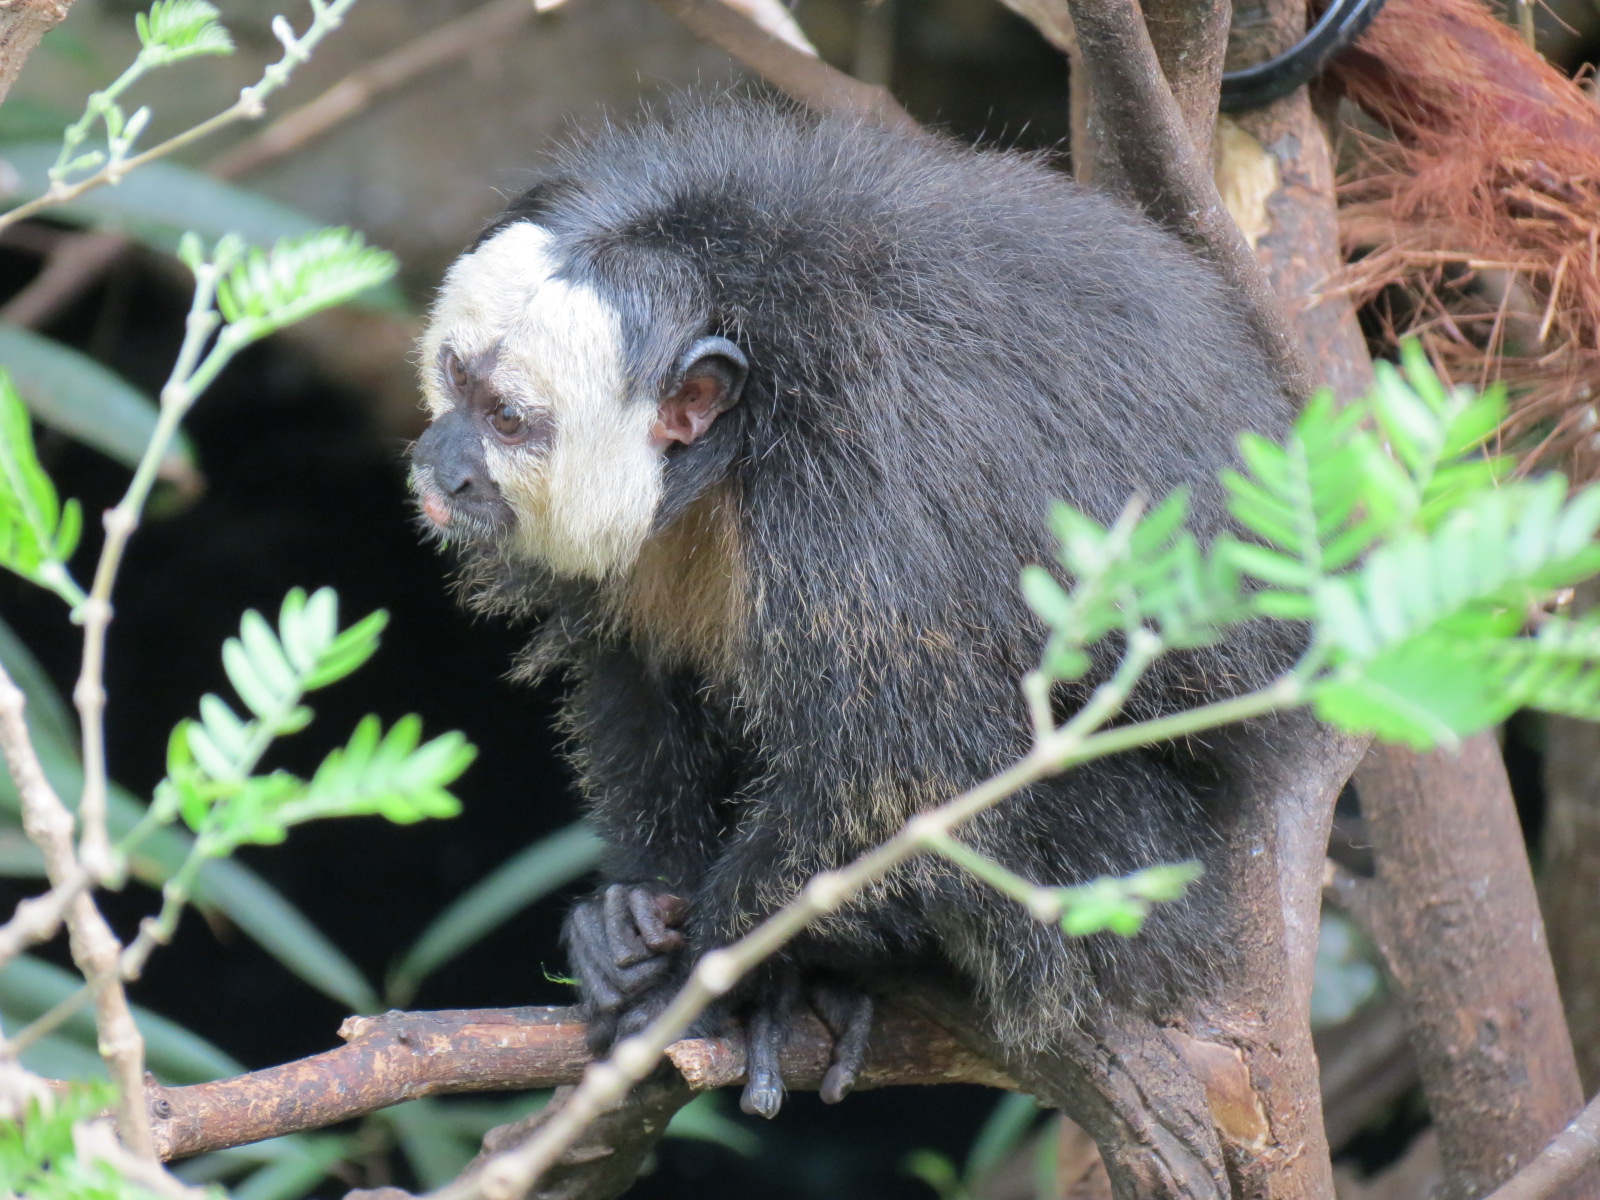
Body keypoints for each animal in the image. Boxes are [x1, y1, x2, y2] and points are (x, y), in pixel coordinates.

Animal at [408, 95, 1299, 1119]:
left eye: (508, 420)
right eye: (455, 376)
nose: (441, 463)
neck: (738, 443)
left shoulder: (859, 496)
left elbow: (901, 775)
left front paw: (702, 974)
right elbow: (636, 681)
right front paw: (630, 911)